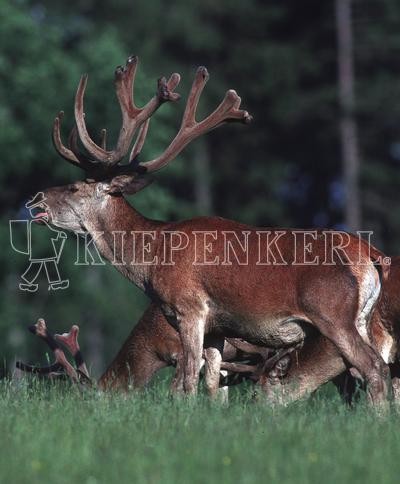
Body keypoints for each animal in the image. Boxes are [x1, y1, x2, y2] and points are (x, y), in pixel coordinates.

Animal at [33, 54, 390, 404]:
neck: (152, 259)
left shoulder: (190, 307)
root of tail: (371, 255)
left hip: (332, 313)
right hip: (362, 318)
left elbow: (187, 381)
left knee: (372, 367)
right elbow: (211, 386)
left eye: (75, 187)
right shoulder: (218, 329)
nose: (37, 199)